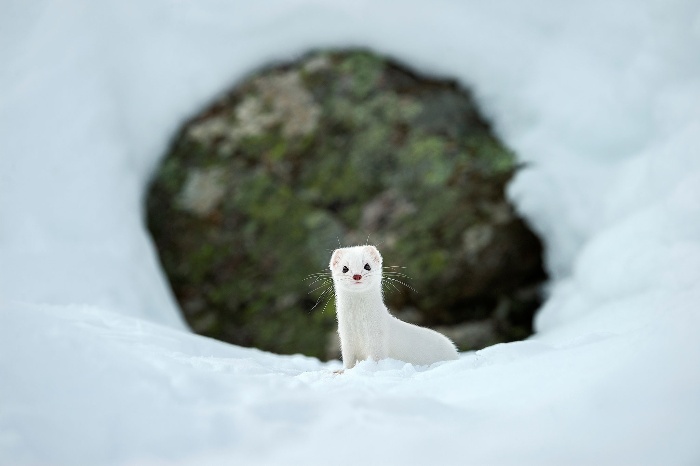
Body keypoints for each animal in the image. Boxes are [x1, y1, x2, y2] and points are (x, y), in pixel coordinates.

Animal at [330, 244, 460, 368]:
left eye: (367, 266)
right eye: (345, 268)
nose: (357, 276)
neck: (358, 325)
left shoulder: (378, 336)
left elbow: (377, 357)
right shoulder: (346, 338)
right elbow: (349, 360)